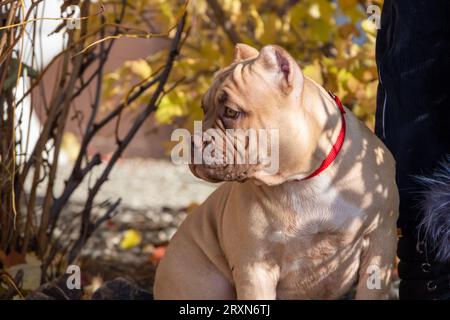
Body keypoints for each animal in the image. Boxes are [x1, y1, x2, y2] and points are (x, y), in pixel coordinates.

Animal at [154, 43, 398, 298]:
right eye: (204, 109)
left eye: (231, 112)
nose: (192, 142)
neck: (303, 178)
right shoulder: (255, 266)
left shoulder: (380, 241)